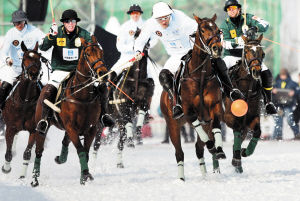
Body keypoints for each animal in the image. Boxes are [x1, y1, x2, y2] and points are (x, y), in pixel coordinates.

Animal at [1, 40, 42, 177]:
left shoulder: (34, 130)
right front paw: (6, 169)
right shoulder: (10, 128)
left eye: (39, 58)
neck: (25, 101)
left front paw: (22, 177)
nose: (33, 74)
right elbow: (8, 154)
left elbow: (27, 154)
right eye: (25, 58)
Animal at [31, 35, 108, 187]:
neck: (82, 95)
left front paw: (84, 176)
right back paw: (34, 179)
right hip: (42, 126)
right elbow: (81, 150)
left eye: (101, 53)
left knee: (65, 142)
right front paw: (85, 175)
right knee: (39, 151)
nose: (102, 72)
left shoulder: (91, 128)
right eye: (87, 54)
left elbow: (86, 152)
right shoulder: (71, 127)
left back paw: (60, 158)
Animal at [159, 14, 225, 181]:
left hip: (204, 122)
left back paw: (205, 174)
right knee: (179, 153)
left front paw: (219, 150)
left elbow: (216, 127)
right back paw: (181, 179)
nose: (217, 48)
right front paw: (212, 145)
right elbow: (199, 129)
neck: (200, 75)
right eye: (202, 30)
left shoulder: (214, 109)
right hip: (172, 125)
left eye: (218, 30)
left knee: (198, 148)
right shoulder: (189, 111)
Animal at [223, 34, 264, 173]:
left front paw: (245, 152)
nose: (256, 71)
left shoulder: (252, 117)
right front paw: (236, 158)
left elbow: (257, 132)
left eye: (262, 53)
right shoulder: (230, 117)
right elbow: (236, 131)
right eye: (246, 51)